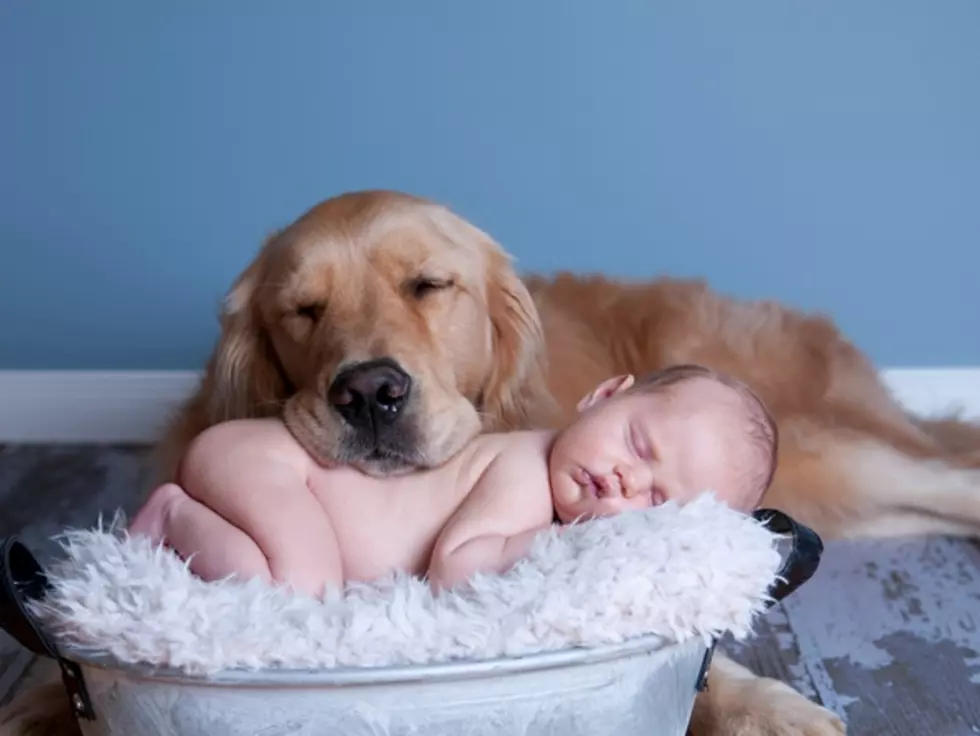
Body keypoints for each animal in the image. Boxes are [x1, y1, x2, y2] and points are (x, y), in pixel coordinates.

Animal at [5, 191, 980, 736]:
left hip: (822, 444)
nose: (369, 393)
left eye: (429, 286)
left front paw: (762, 704)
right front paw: (39, 703)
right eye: (302, 310)